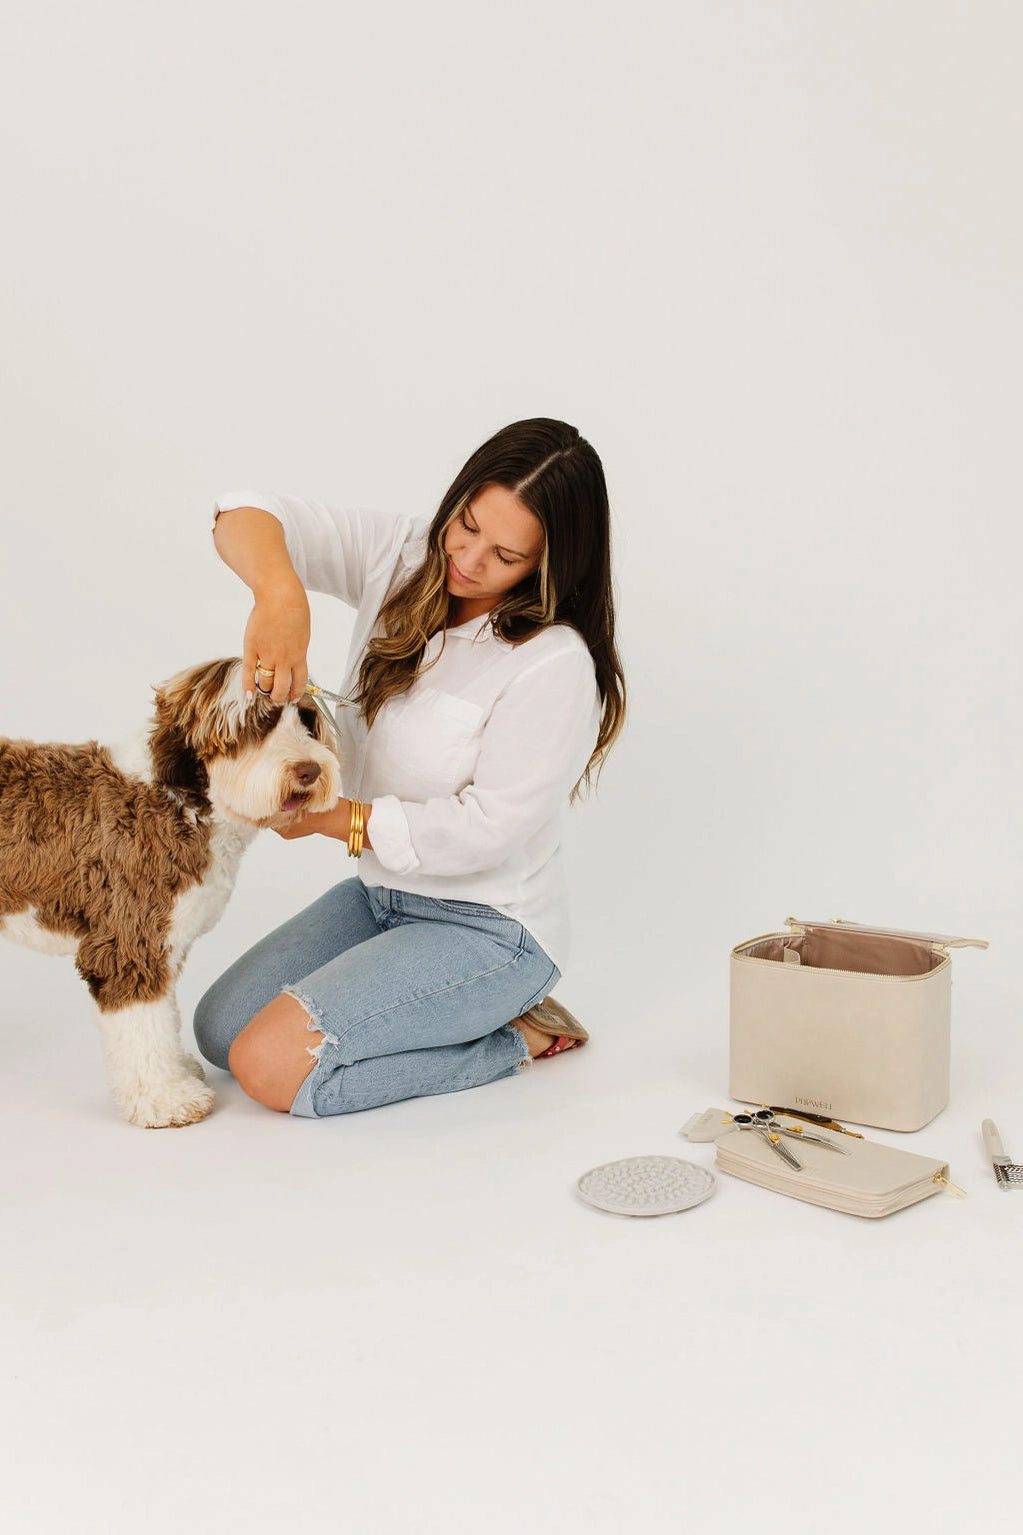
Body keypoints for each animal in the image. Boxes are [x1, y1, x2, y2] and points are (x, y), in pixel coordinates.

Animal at [0, 660, 342, 1129]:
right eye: (259, 722)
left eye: (307, 720)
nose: (310, 770)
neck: (182, 802)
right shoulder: (129, 943)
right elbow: (144, 1026)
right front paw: (166, 1098)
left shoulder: (168, 941)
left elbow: (165, 1017)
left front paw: (177, 1072)